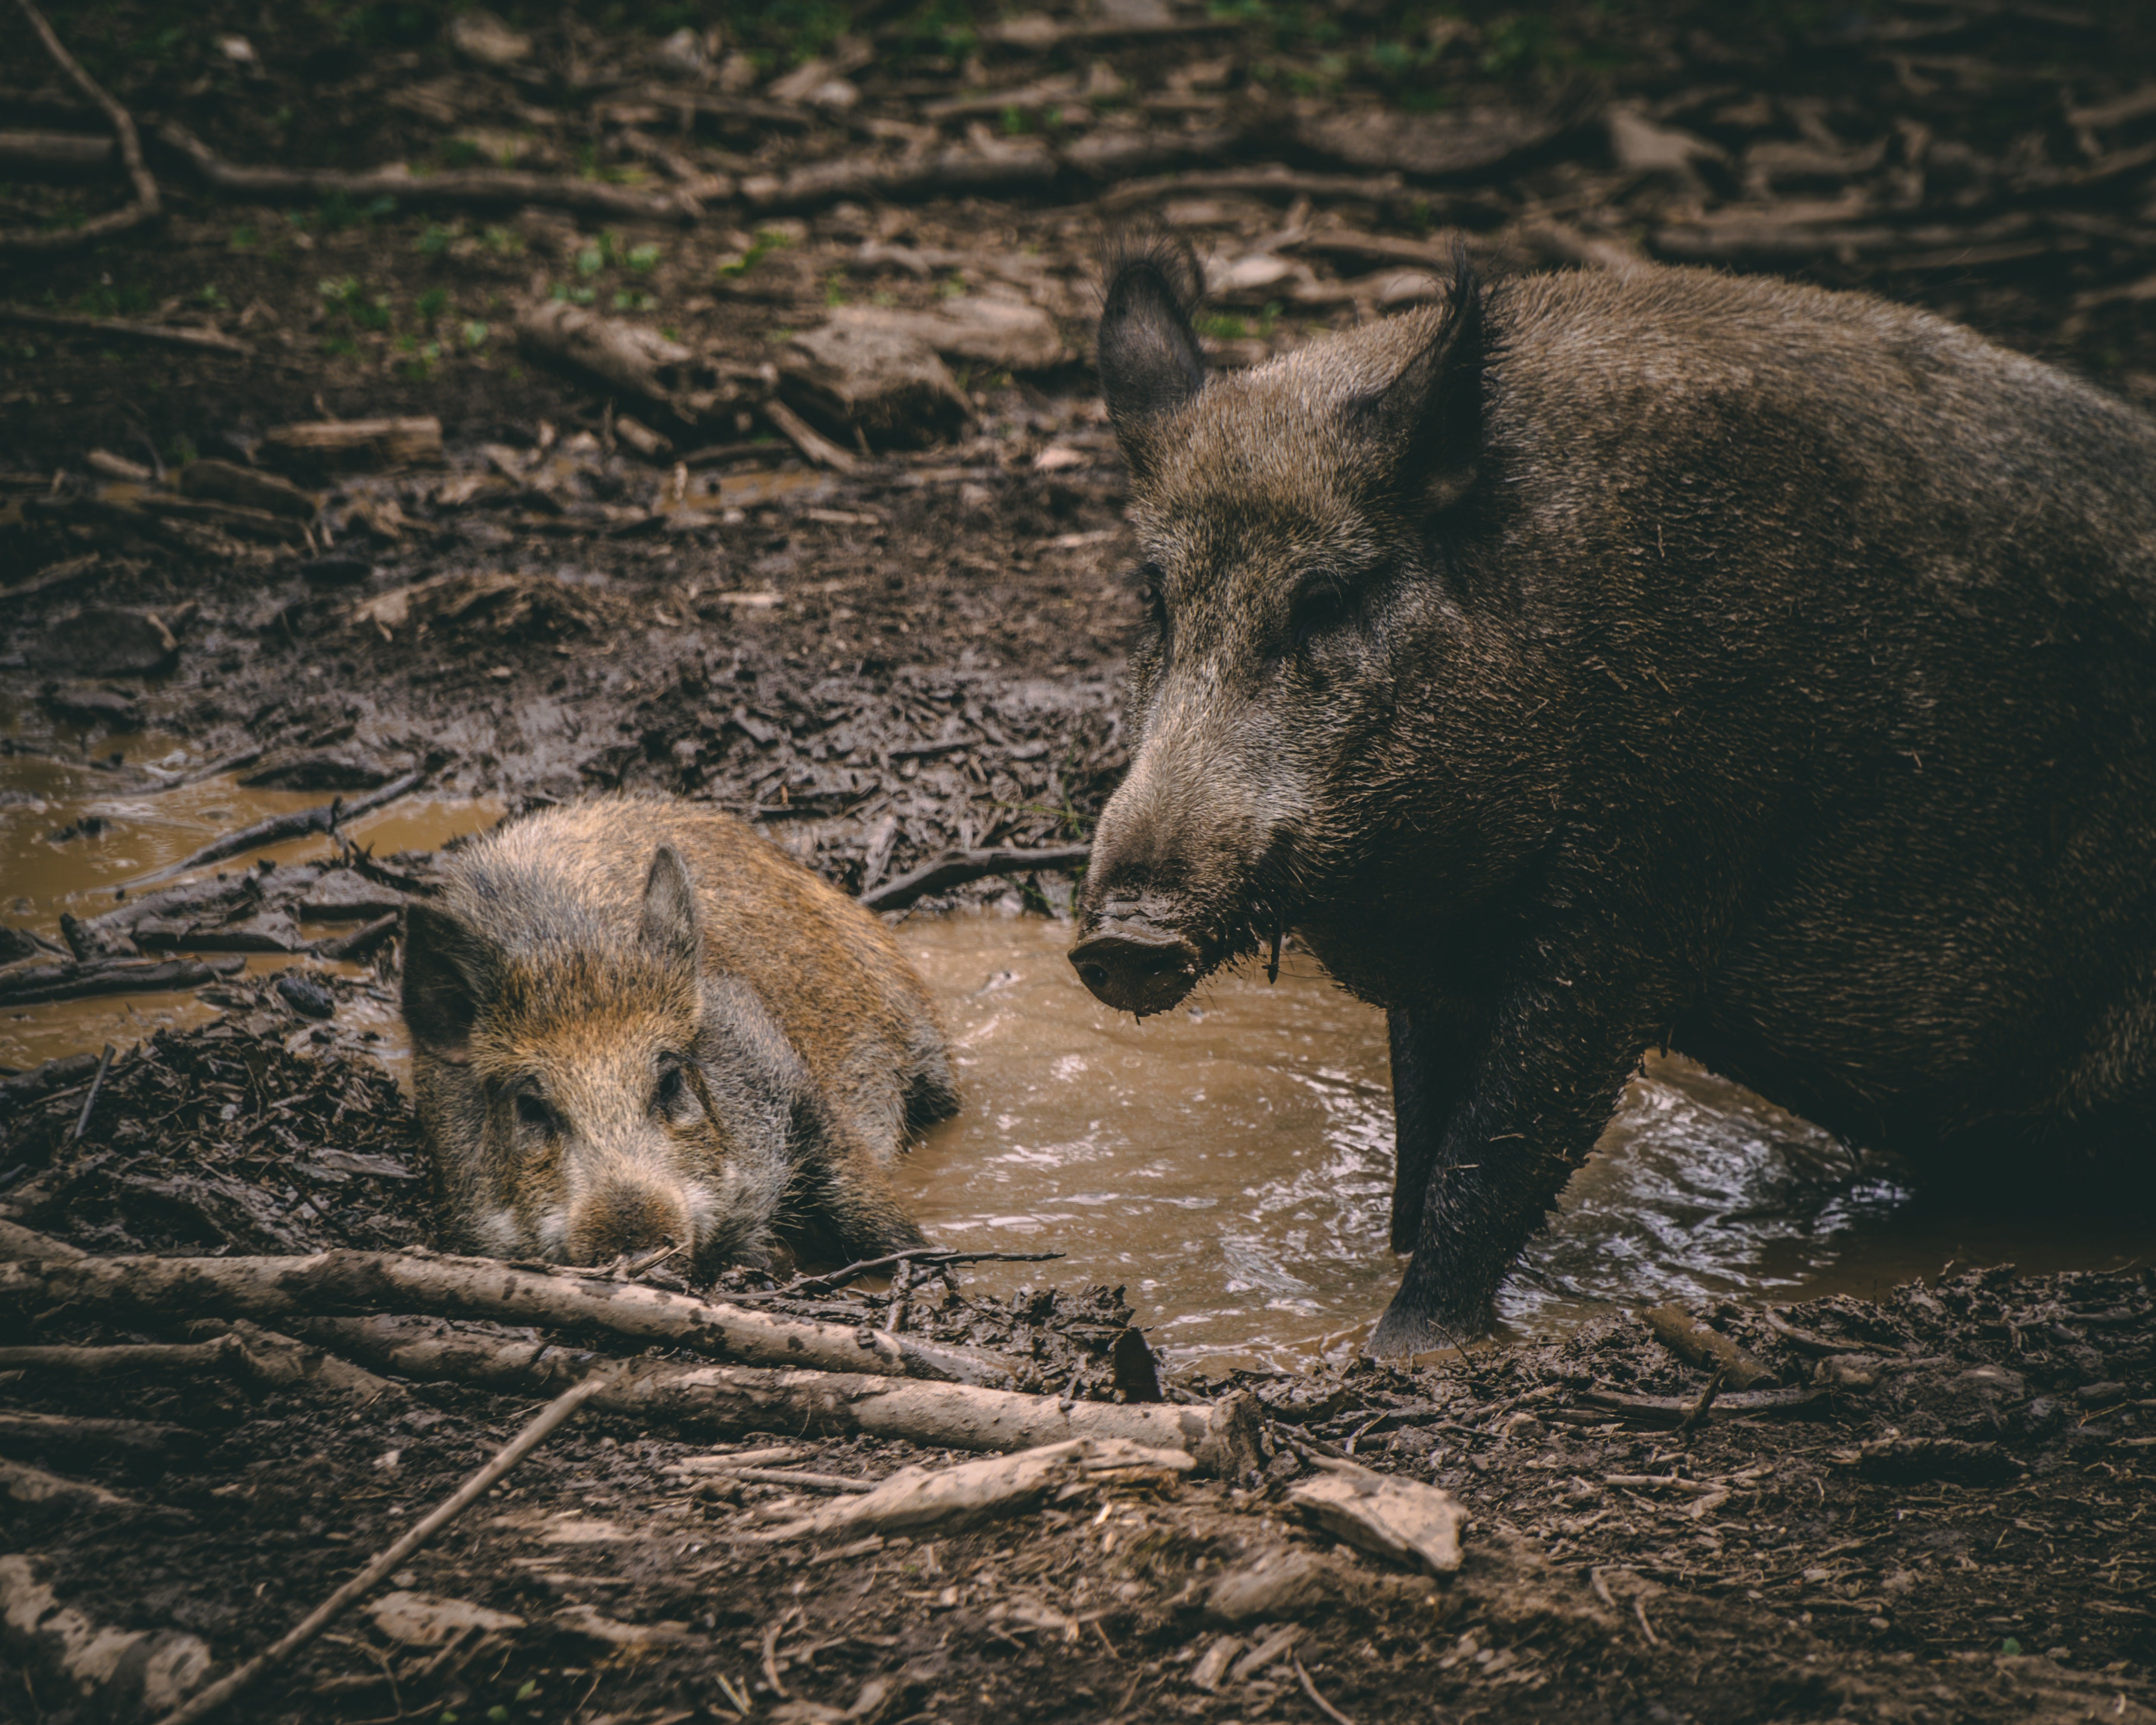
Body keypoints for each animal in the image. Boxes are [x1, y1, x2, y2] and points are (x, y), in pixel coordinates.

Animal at [401, 798, 956, 1271]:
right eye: (531, 1105)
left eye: (669, 1080)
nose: (636, 1243)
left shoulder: (797, 1089)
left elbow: (872, 1210)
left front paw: (928, 1255)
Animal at [1068, 237, 2156, 1353]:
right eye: (1156, 597)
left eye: (1323, 598)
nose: (1123, 935)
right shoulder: (1446, 952)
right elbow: (1422, 1138)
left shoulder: (1653, 882)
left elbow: (1496, 1146)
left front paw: (1402, 1345)